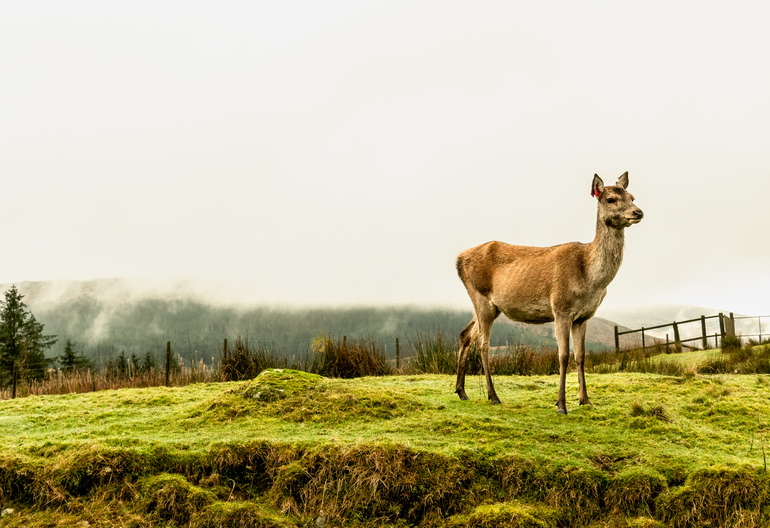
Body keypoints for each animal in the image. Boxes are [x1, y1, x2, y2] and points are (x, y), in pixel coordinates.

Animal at [454, 172, 643, 414]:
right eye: (611, 199)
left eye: (632, 196)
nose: (638, 212)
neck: (590, 278)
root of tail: (458, 259)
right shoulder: (561, 309)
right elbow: (563, 356)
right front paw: (561, 404)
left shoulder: (583, 317)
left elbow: (580, 356)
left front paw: (585, 400)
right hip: (481, 296)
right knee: (483, 344)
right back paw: (493, 396)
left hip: (492, 306)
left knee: (465, 334)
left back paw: (461, 391)